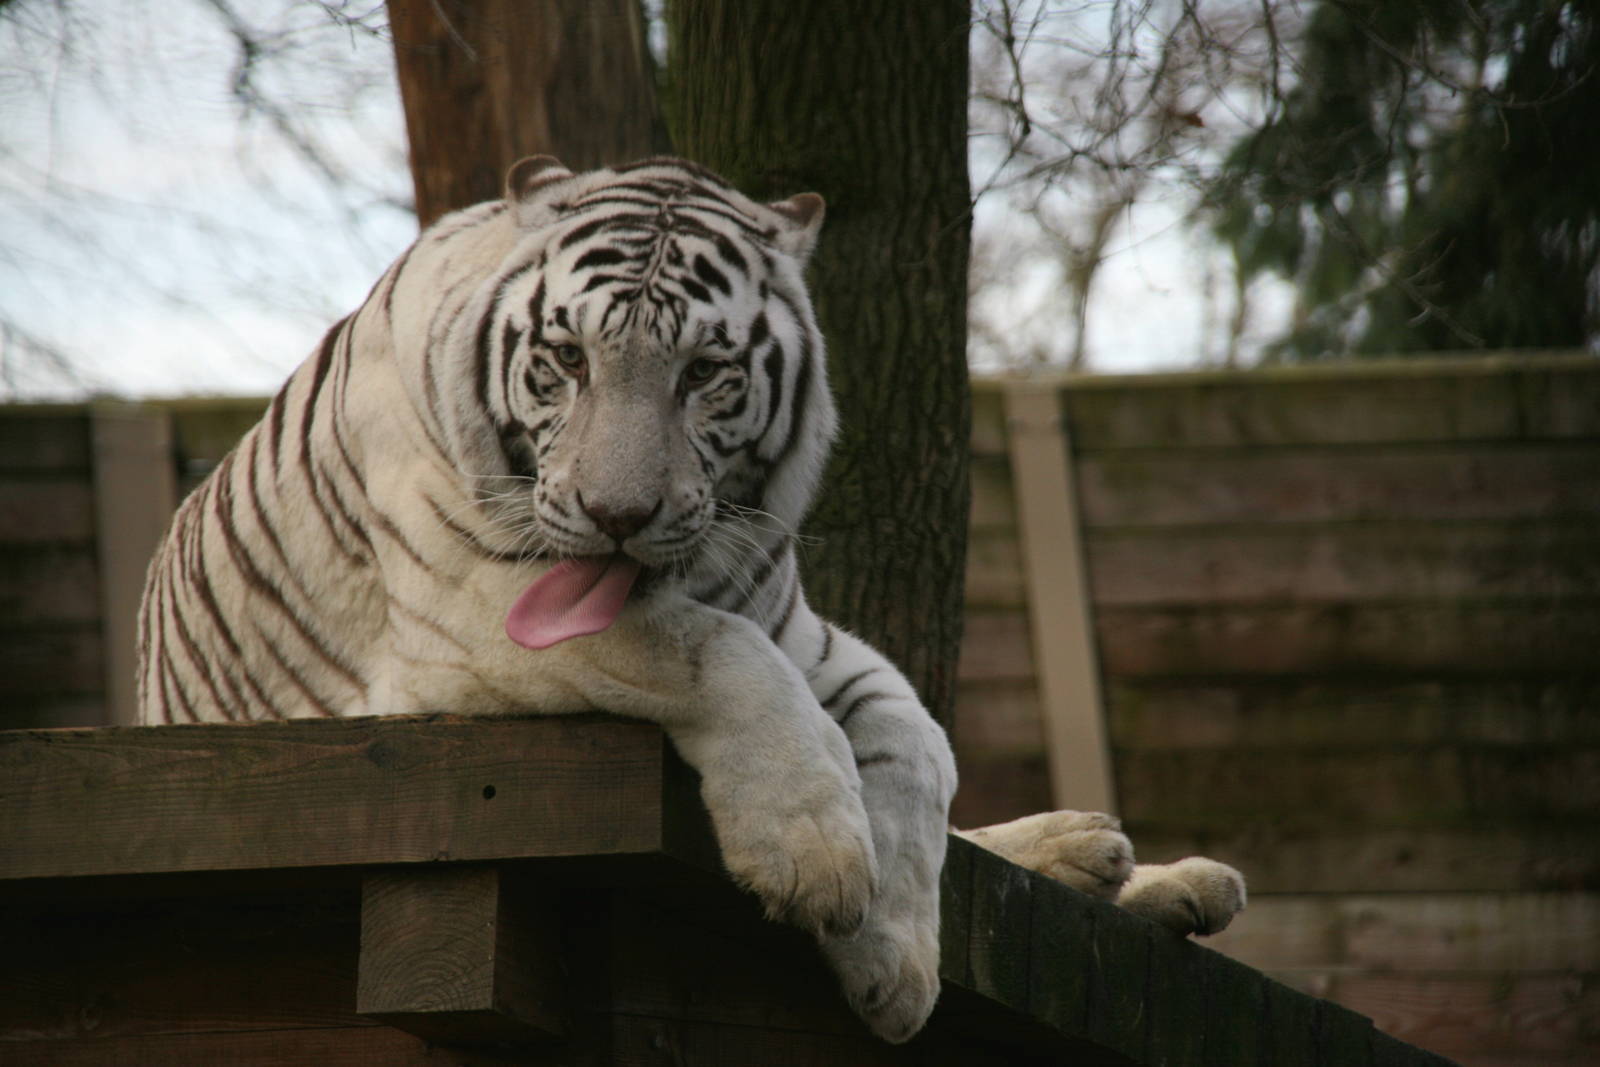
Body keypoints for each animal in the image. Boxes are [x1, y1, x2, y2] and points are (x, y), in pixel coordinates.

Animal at [137, 156, 1244, 1043]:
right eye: (568, 357)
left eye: (706, 371)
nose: (616, 513)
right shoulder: (474, 622)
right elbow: (715, 651)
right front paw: (818, 857)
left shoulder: (812, 637)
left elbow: (915, 744)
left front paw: (893, 960)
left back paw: (1129, 862)